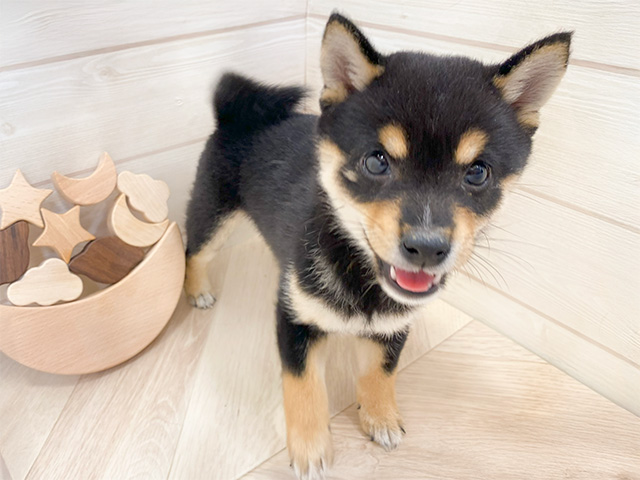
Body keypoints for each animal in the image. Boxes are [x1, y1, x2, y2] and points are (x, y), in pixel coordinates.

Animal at [184, 14, 568, 480]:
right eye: (376, 161)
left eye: (478, 172)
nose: (427, 247)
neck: (360, 276)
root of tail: (234, 115)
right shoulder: (294, 319)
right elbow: (304, 386)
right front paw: (310, 448)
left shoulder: (393, 327)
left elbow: (380, 373)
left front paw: (380, 417)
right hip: (214, 217)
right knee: (193, 251)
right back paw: (196, 290)